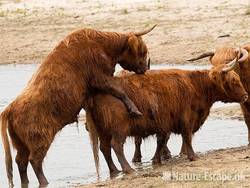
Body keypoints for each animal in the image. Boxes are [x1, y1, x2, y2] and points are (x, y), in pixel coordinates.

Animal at [0, 25, 156, 187]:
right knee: (34, 160)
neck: (104, 46)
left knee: (21, 161)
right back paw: (45, 182)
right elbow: (119, 90)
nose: (146, 68)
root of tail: (10, 109)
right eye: (143, 50)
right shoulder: (99, 77)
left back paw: (26, 182)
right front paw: (134, 109)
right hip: (40, 140)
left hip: (20, 143)